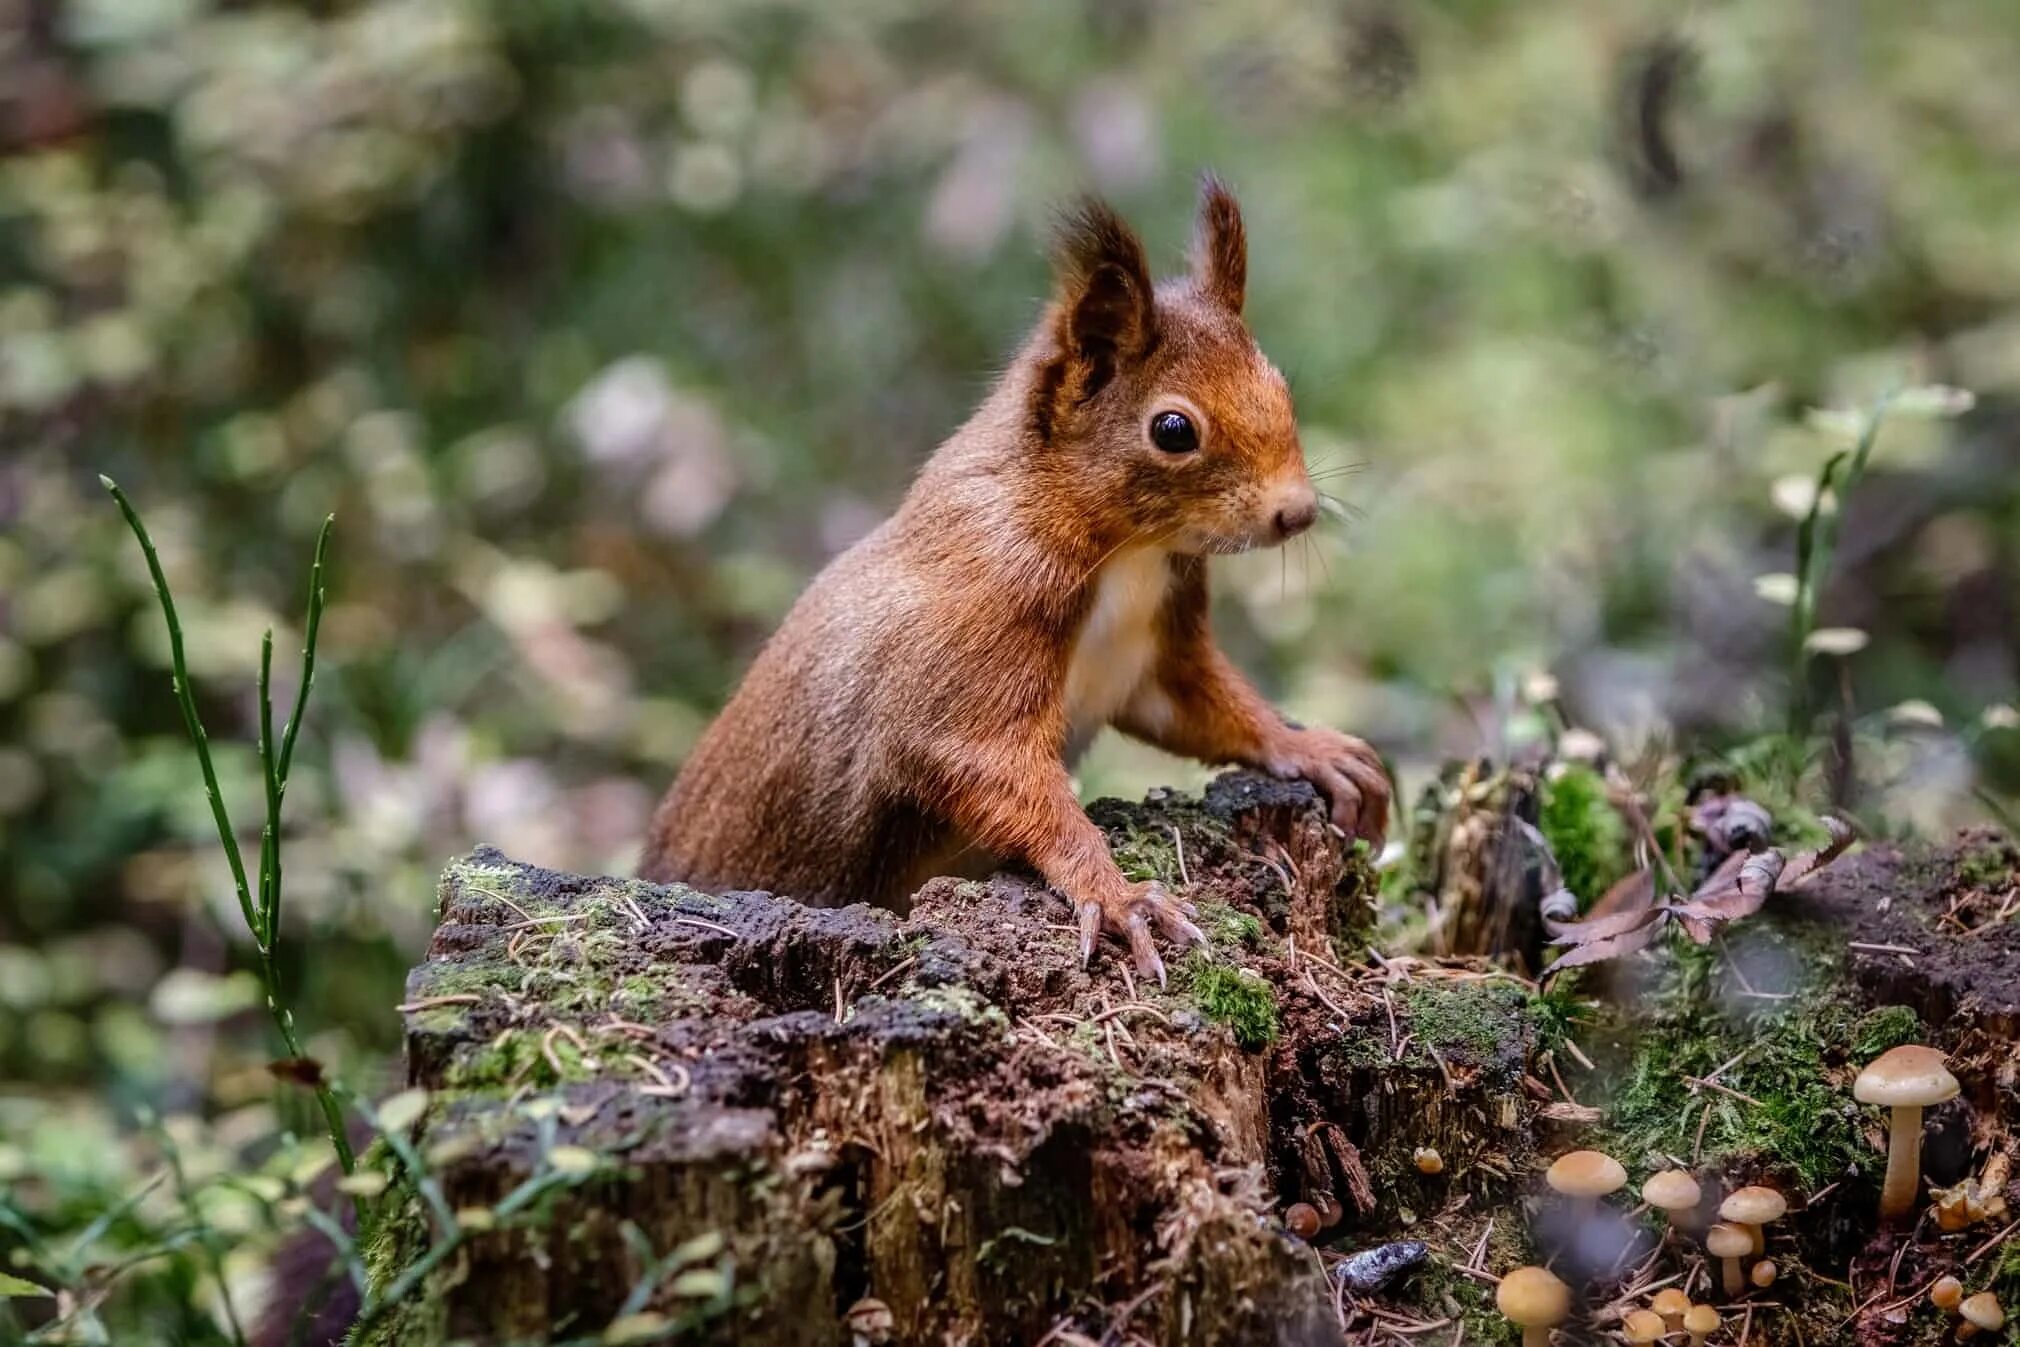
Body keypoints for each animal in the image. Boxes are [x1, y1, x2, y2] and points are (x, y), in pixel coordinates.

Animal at [646, 178, 1389, 981]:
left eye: (1279, 385)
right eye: (1173, 430)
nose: (1299, 511)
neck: (1127, 552)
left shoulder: (1152, 656)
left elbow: (1207, 707)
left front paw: (1312, 749)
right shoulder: (978, 627)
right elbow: (996, 772)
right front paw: (1118, 894)